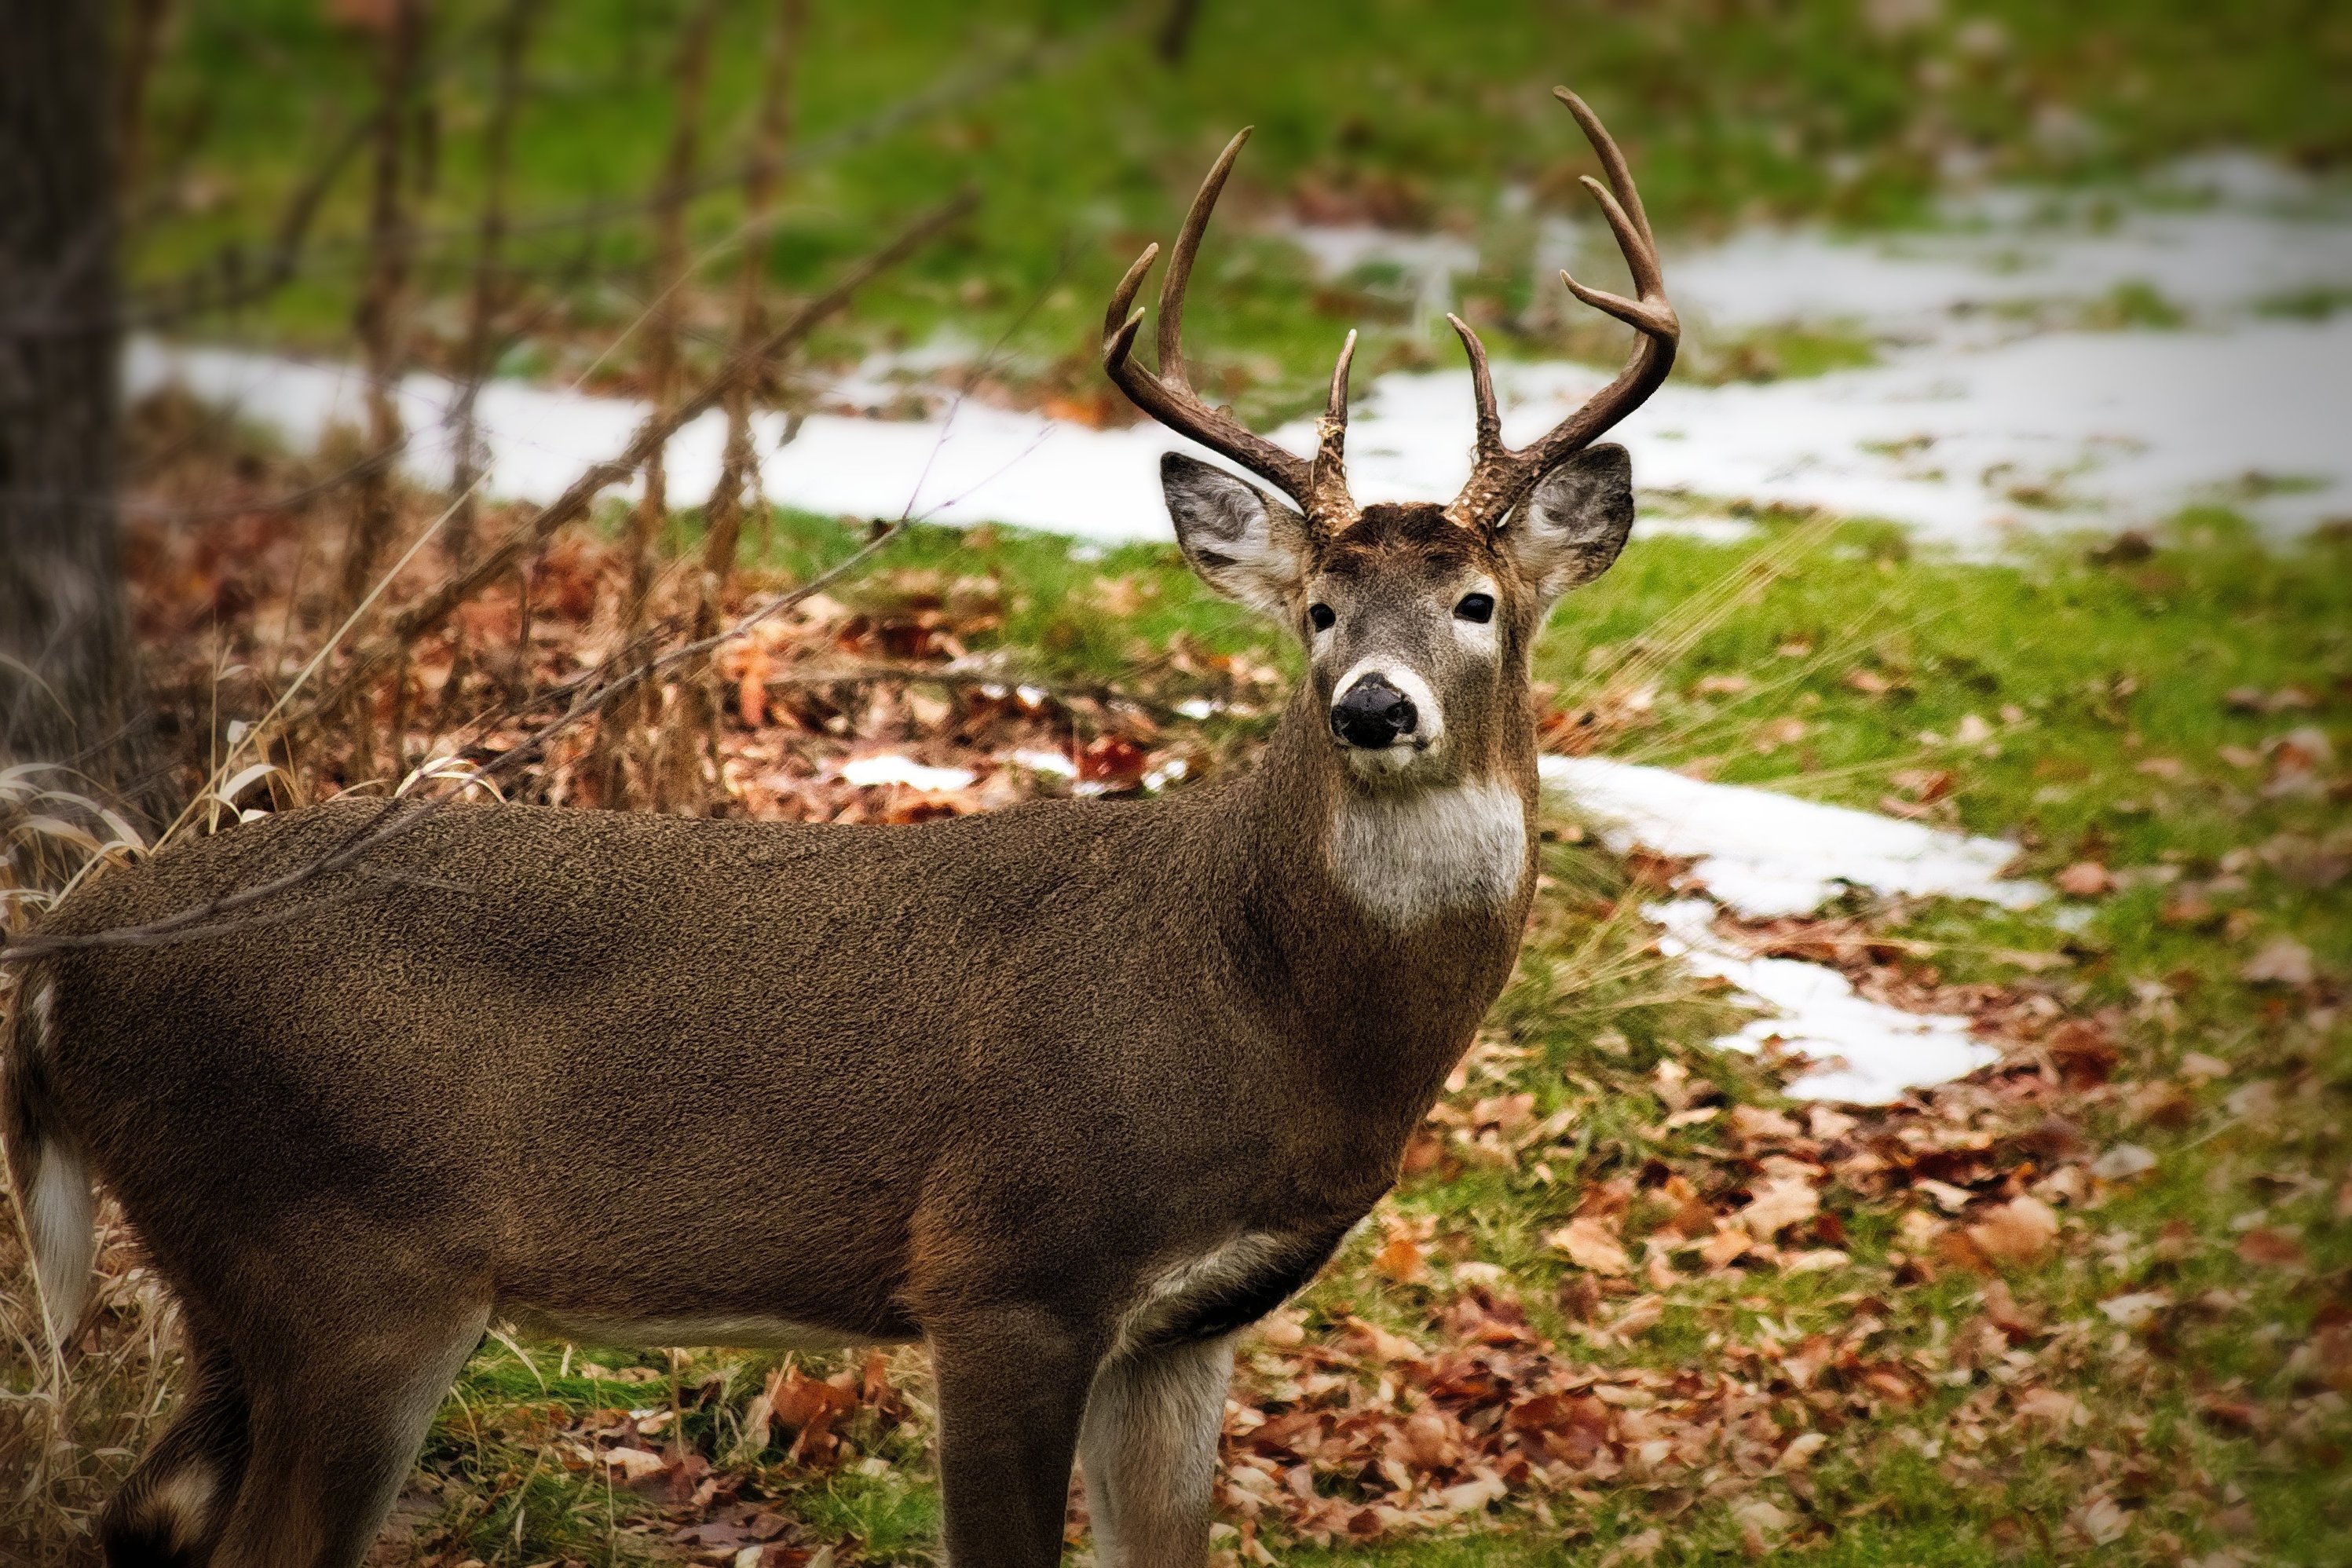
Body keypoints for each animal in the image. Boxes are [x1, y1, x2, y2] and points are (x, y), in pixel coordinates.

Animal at [13, 89, 1674, 1568]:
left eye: (1478, 601)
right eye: (1321, 609)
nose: (1373, 707)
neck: (1258, 993)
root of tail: (73, 946)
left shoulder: (1187, 1326)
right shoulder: (1007, 1264)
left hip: (247, 1275)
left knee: (146, 1512)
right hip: (348, 1257)